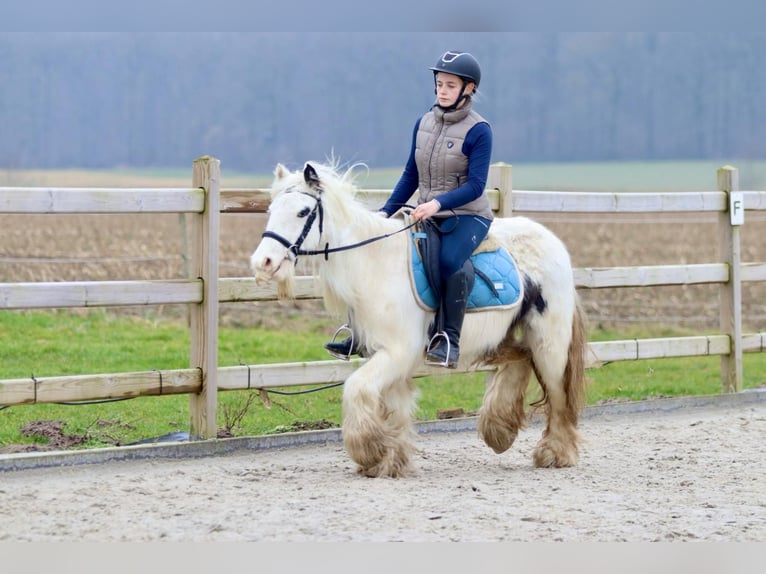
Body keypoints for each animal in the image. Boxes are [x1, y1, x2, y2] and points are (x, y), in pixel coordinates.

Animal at [252, 161, 588, 476]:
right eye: (271, 209)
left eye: (303, 212)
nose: (262, 262)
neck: (375, 263)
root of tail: (552, 240)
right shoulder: (385, 355)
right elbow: (394, 409)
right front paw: (390, 462)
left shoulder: (398, 352)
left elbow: (356, 389)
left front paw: (369, 451)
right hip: (497, 340)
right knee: (519, 359)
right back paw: (499, 430)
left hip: (550, 344)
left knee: (558, 395)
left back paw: (556, 453)